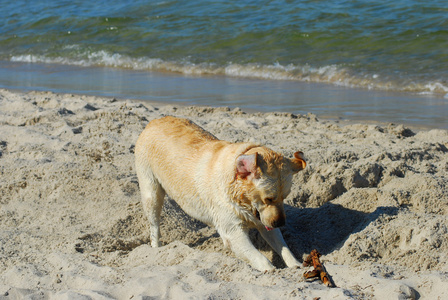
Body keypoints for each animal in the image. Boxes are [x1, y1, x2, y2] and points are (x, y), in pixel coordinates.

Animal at [135, 116, 306, 270]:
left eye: (285, 197)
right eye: (268, 199)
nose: (280, 223)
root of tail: (154, 121)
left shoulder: (265, 222)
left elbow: (283, 246)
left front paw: (296, 264)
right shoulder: (233, 232)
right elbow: (261, 260)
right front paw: (270, 269)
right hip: (151, 193)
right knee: (154, 226)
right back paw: (156, 249)